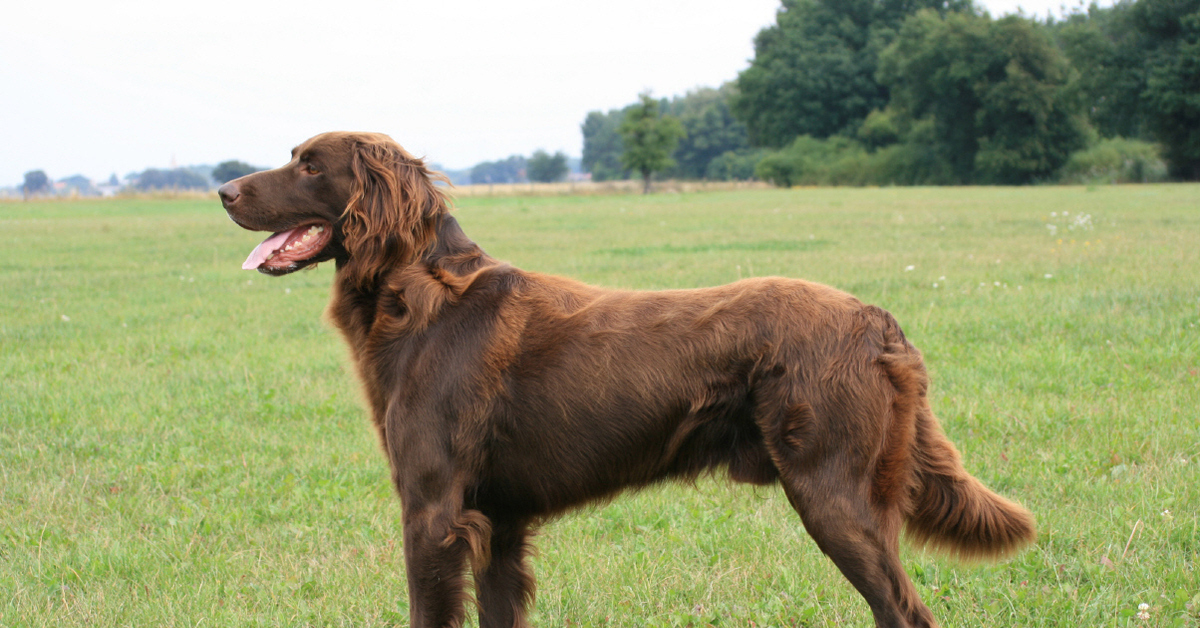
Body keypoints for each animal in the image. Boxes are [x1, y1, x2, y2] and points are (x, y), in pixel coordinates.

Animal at [218, 132, 1032, 628]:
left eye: (310, 164)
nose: (223, 189)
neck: (418, 295)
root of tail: (877, 321)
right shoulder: (497, 522)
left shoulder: (434, 512)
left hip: (837, 496)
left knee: (904, 610)